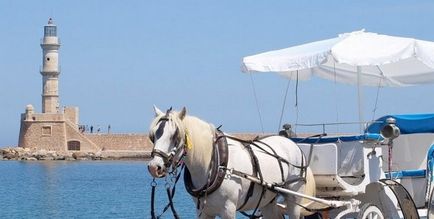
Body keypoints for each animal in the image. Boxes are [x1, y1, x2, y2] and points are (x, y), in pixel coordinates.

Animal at [147, 106, 316, 217]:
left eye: (175, 135)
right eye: (153, 136)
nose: (154, 167)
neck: (216, 164)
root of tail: (293, 144)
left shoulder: (228, 210)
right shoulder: (203, 211)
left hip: (294, 199)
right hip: (268, 201)